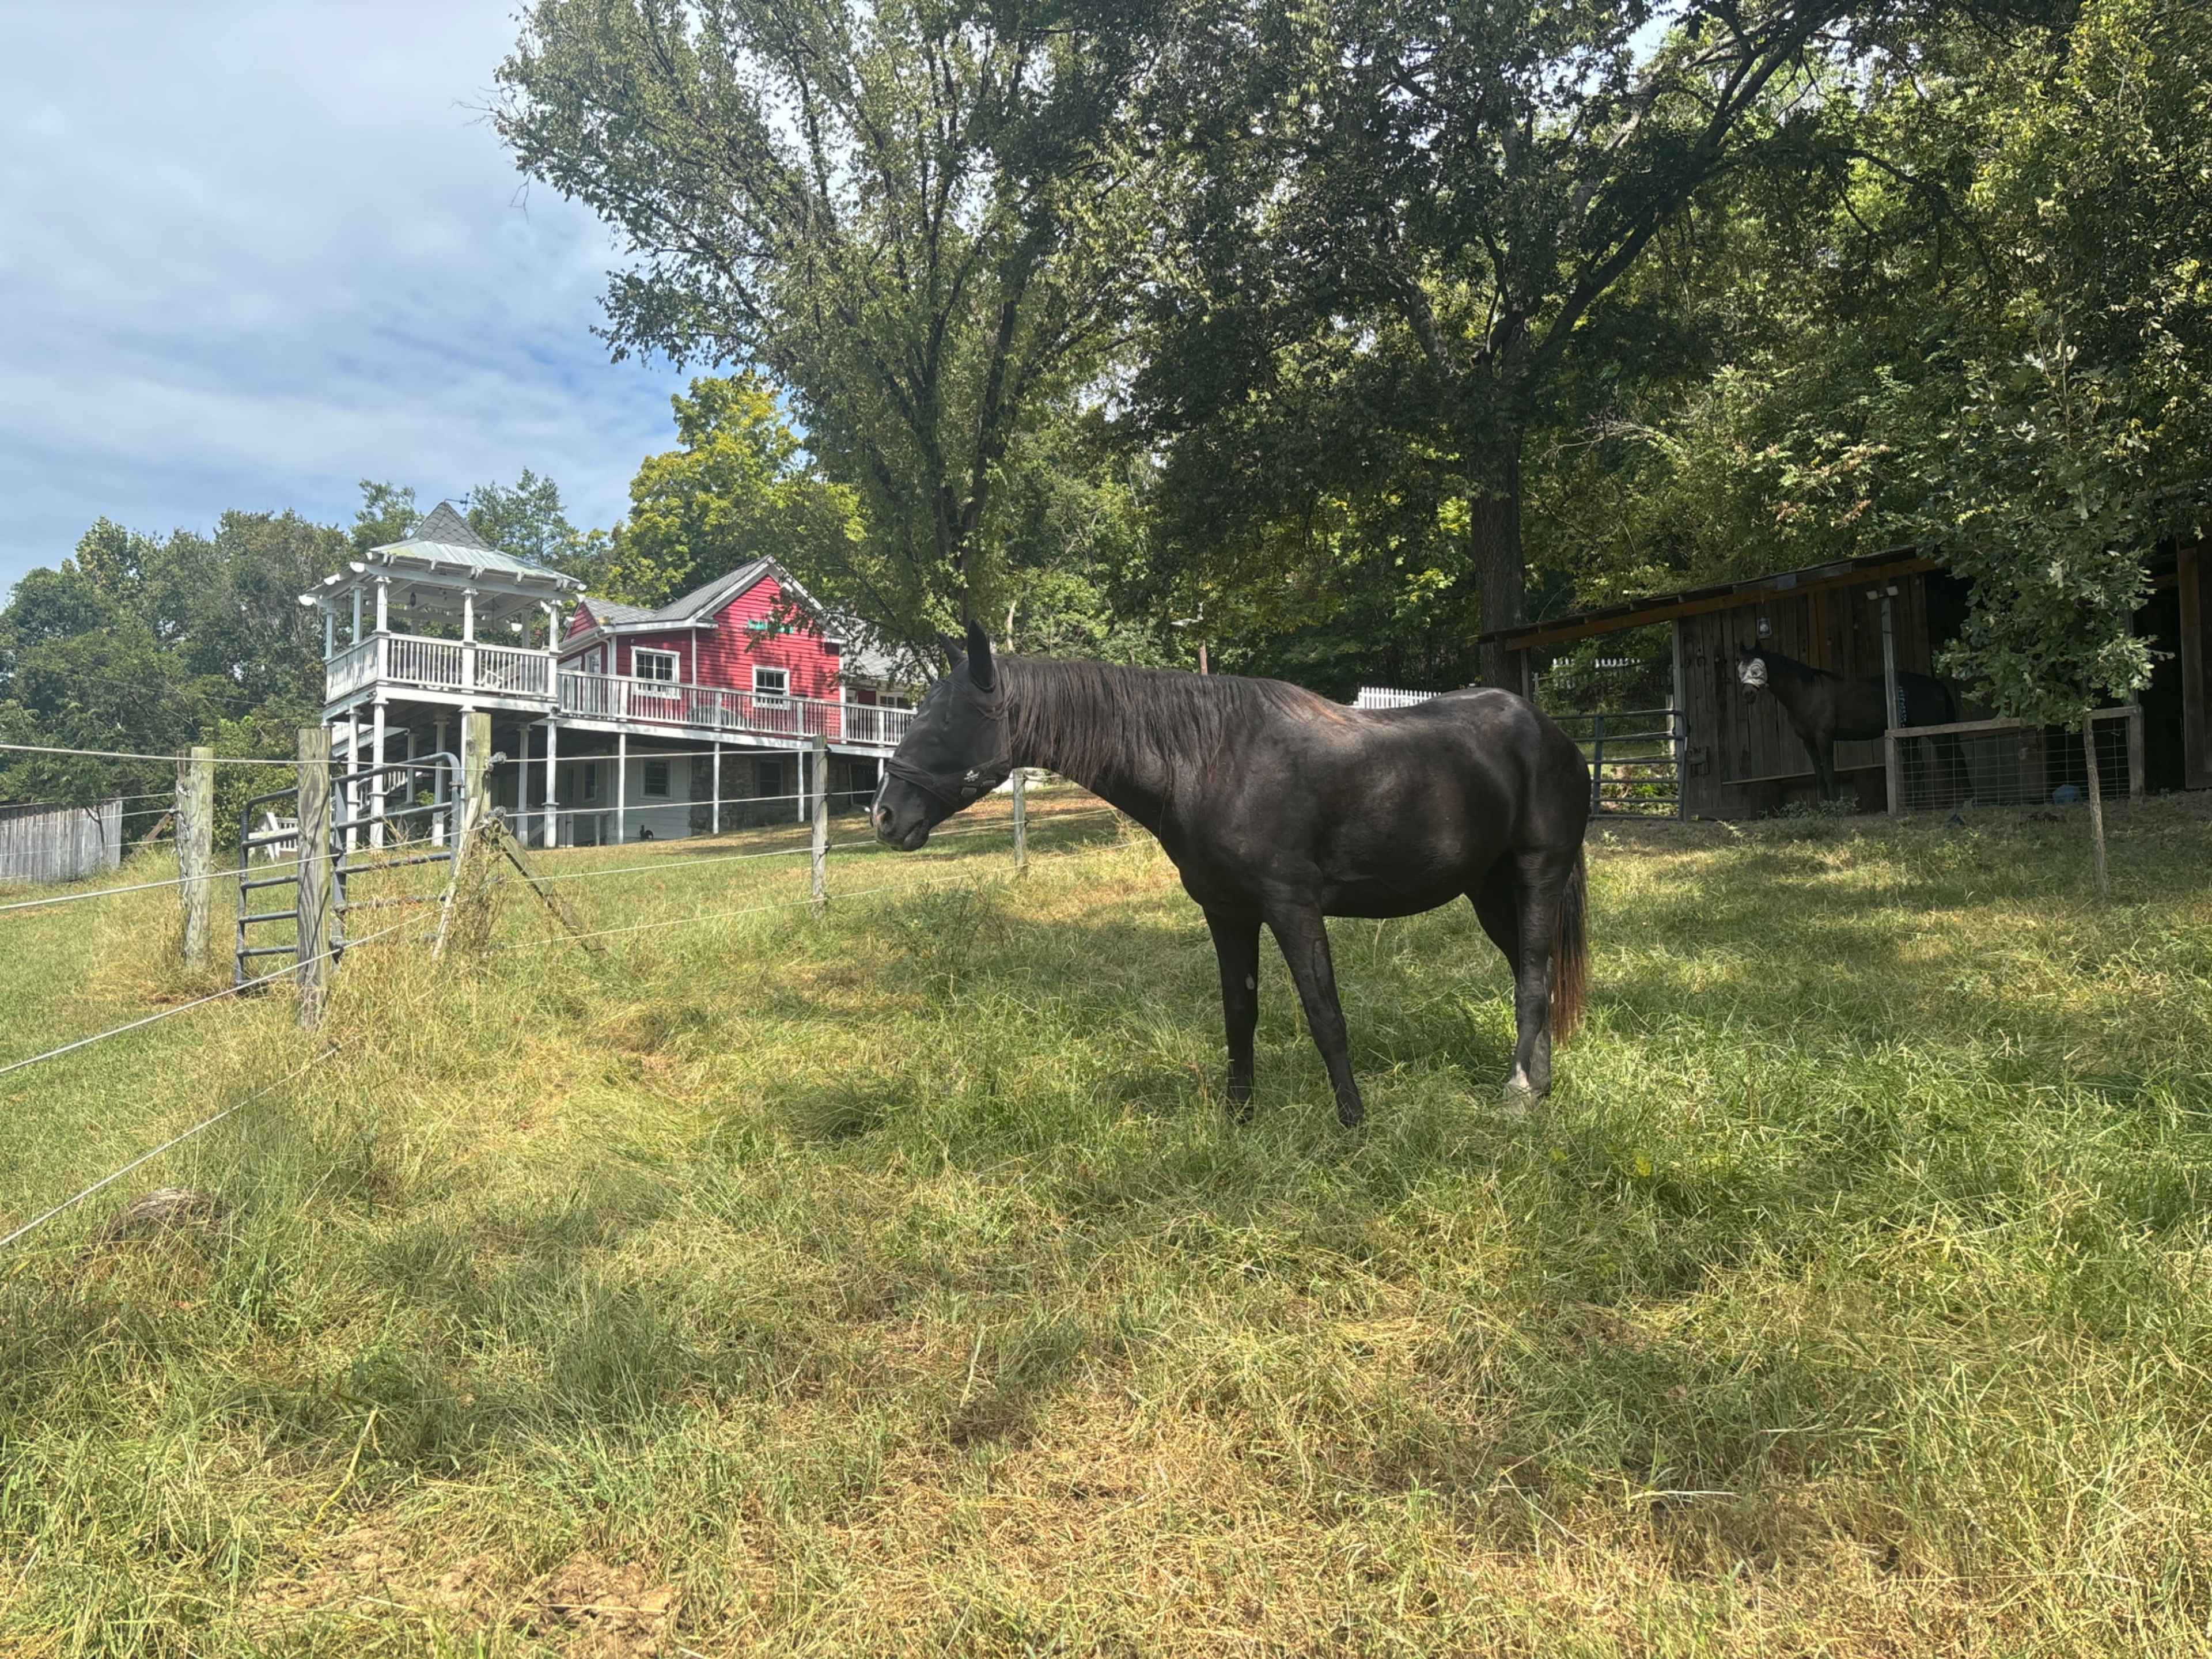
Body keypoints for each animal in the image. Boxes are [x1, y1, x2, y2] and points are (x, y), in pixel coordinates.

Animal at [872, 622, 1594, 1126]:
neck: (1210, 760)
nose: (884, 816)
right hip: (1489, 890)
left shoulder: (1293, 907)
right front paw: (1238, 1116)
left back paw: (1518, 1094)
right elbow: (1239, 1012)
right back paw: (1541, 1088)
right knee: (1534, 973)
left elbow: (1324, 1013)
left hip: (1537, 874)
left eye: (945, 718)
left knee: (1534, 979)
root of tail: (1551, 734)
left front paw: (1354, 1122)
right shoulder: (1227, 912)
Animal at [1736, 644, 1968, 804]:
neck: (1806, 693)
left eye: (1757, 670)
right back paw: (1915, 803)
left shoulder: (1824, 737)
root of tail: (1936, 685)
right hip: (1910, 735)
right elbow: (1819, 774)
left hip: (1937, 734)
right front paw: (1822, 806)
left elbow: (1829, 773)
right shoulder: (1808, 741)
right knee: (1918, 767)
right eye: (1739, 668)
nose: (1747, 694)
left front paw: (1835, 806)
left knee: (1953, 760)